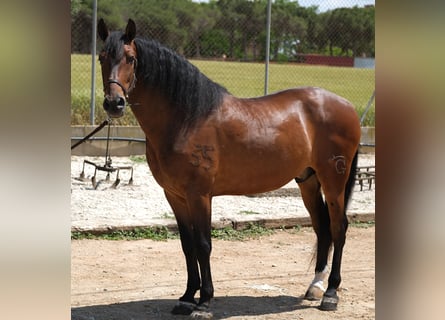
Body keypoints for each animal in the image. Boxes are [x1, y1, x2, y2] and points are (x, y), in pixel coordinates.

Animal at [97, 18, 360, 314]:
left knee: (339, 228)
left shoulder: (199, 195)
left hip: (334, 181)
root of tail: (346, 105)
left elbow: (203, 245)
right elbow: (187, 245)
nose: (114, 103)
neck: (186, 119)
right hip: (308, 181)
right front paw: (187, 297)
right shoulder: (175, 196)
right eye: (101, 57)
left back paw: (331, 293)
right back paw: (315, 287)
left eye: (130, 58)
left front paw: (204, 302)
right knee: (322, 228)